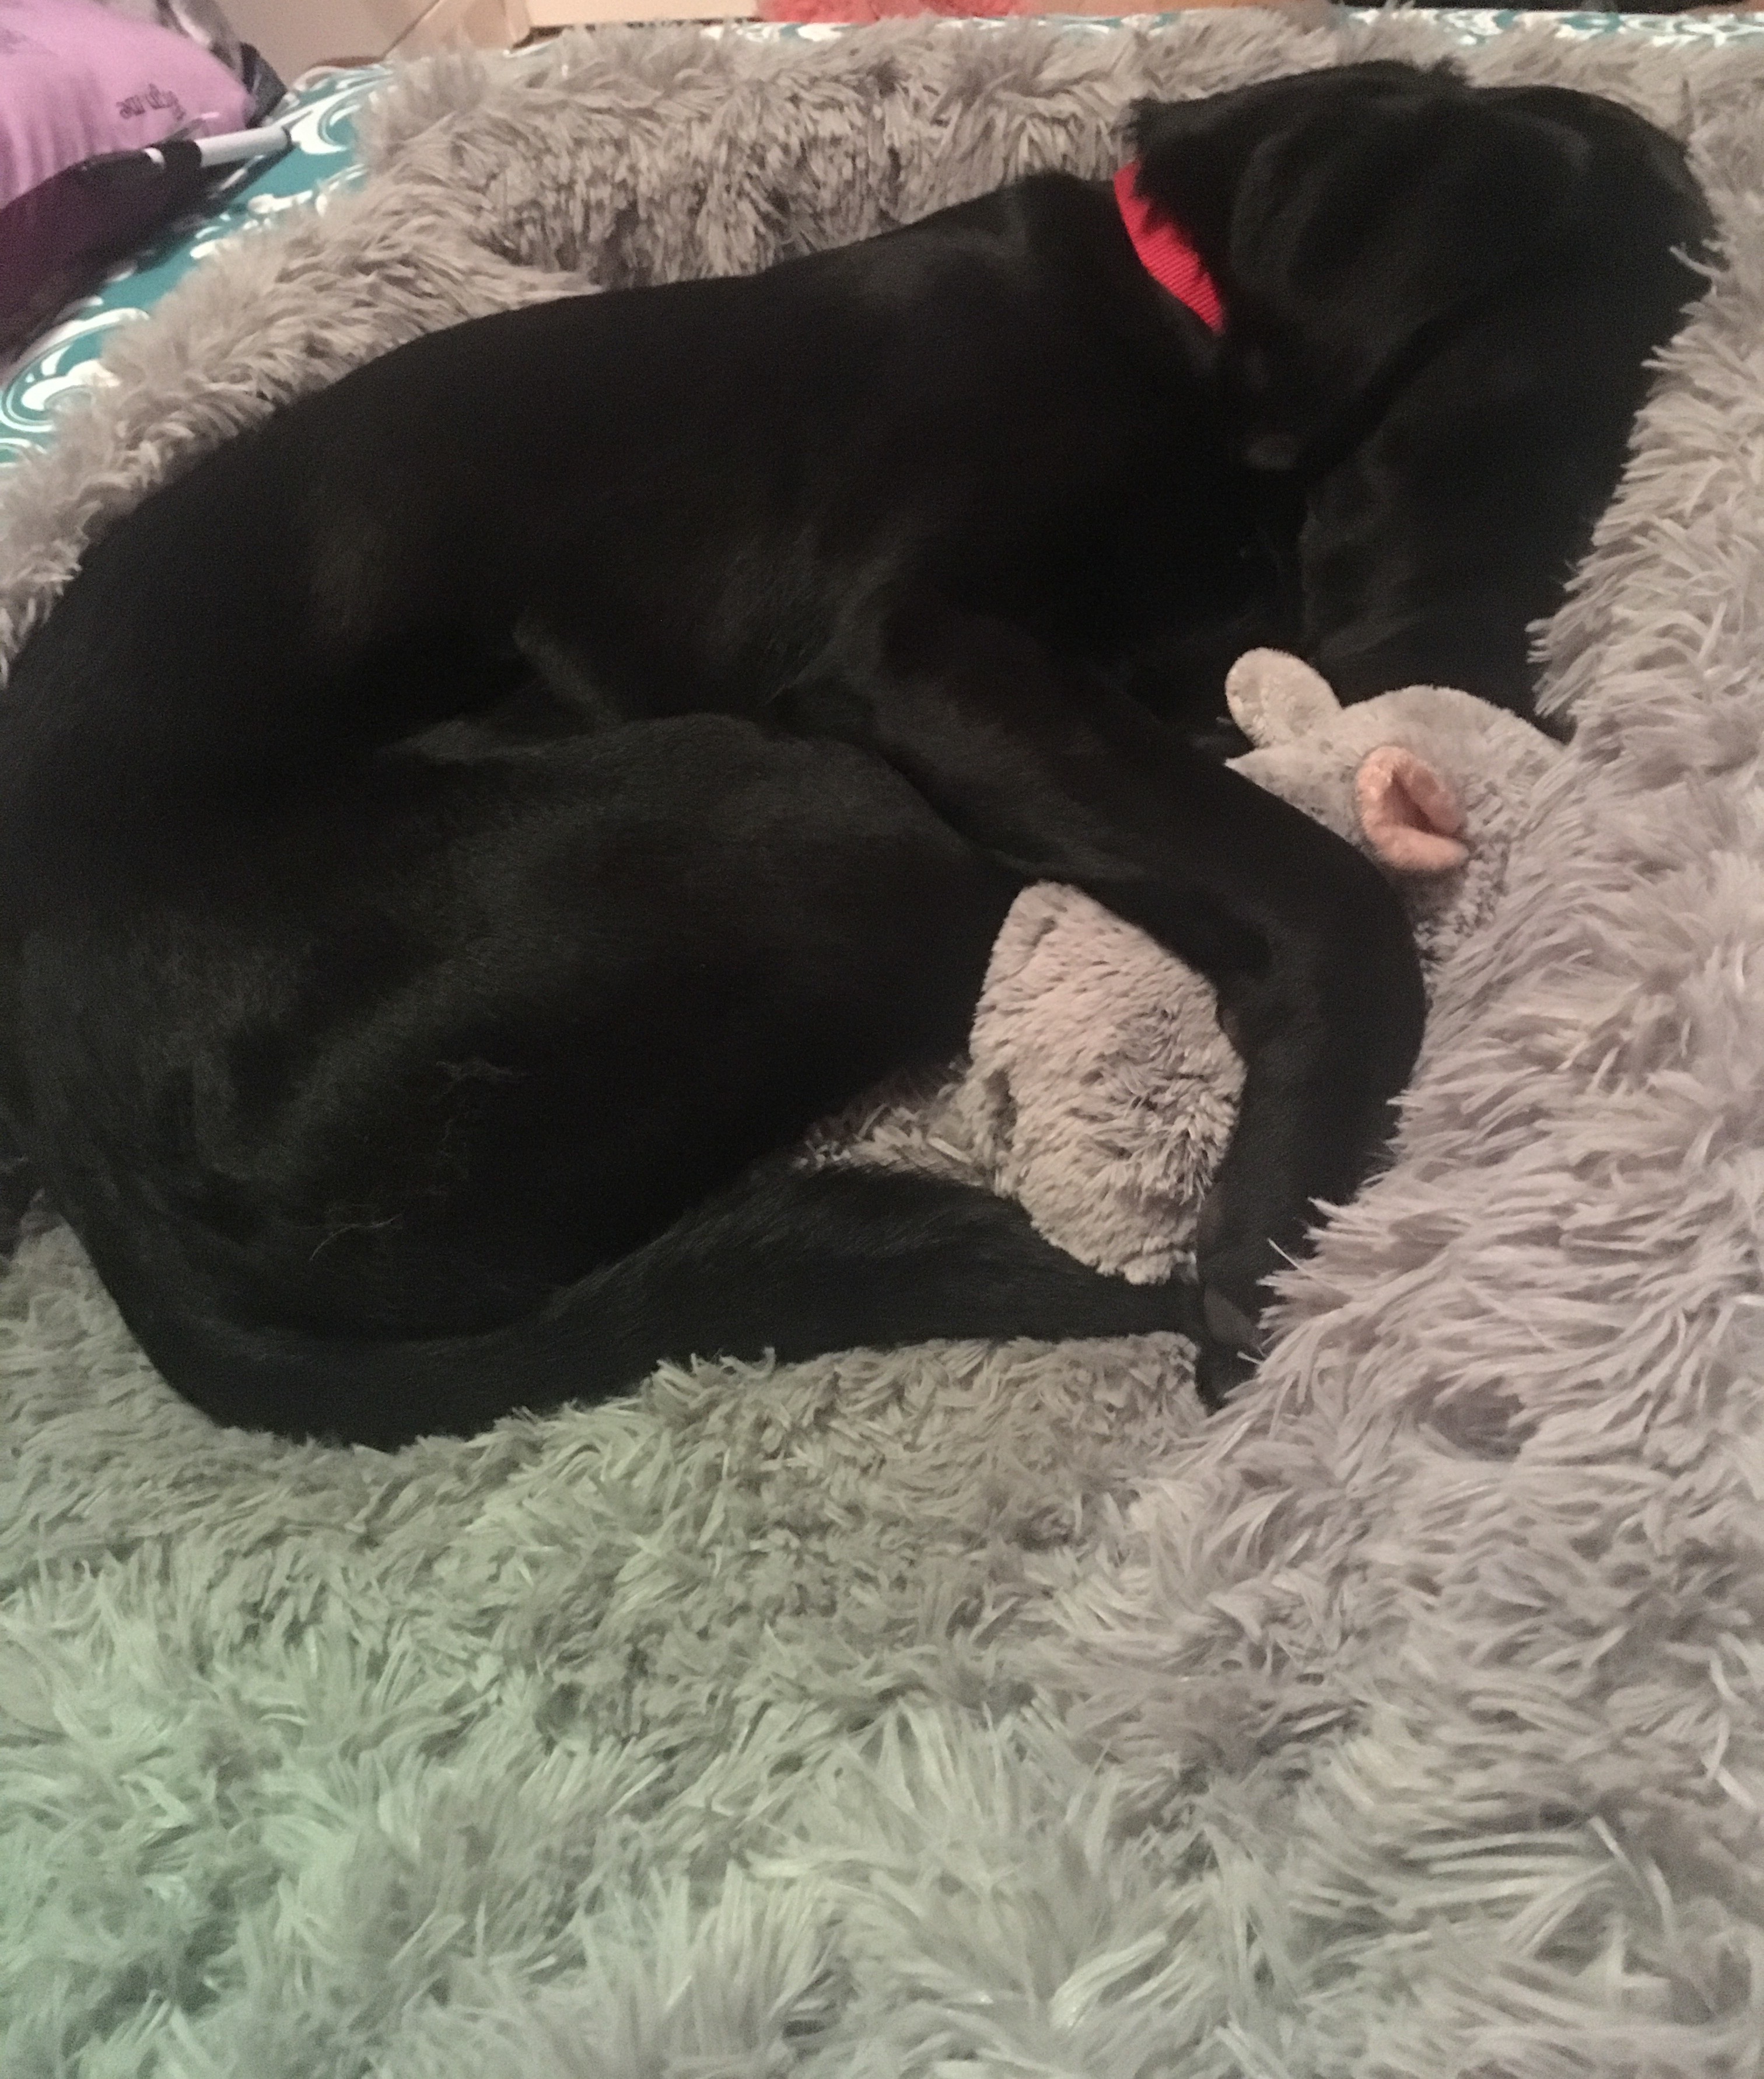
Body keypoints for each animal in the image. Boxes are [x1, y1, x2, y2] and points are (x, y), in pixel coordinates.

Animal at [0, 53, 1703, 1446]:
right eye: (1530, 421)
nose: (1493, 711)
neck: (1176, 323)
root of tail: (102, 1179)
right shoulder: (920, 647)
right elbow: (1315, 882)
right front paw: (1289, 1197)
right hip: (818, 815)